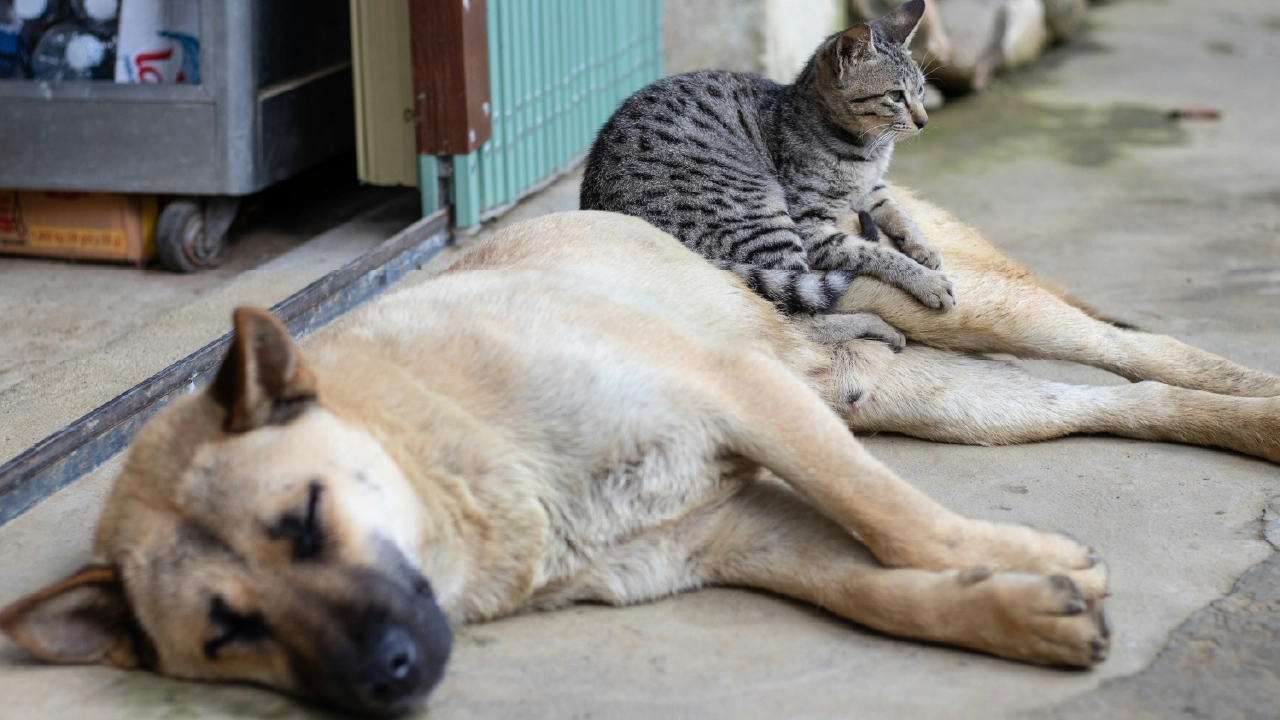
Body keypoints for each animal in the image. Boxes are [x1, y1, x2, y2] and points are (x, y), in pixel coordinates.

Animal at [2, 194, 1280, 712]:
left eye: (305, 522)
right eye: (228, 633)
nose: (388, 681)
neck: (452, 455)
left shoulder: (744, 400)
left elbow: (891, 518)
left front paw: (1015, 558)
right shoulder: (736, 534)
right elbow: (876, 591)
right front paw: (1014, 604)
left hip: (967, 316)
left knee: (1142, 351)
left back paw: (1254, 398)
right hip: (945, 399)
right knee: (1119, 402)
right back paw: (1240, 420)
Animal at [578, 0, 952, 316]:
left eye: (921, 90)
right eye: (896, 95)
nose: (924, 120)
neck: (868, 152)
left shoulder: (872, 187)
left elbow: (898, 211)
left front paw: (924, 248)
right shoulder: (811, 226)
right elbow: (874, 252)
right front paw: (927, 281)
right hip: (763, 215)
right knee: (801, 309)